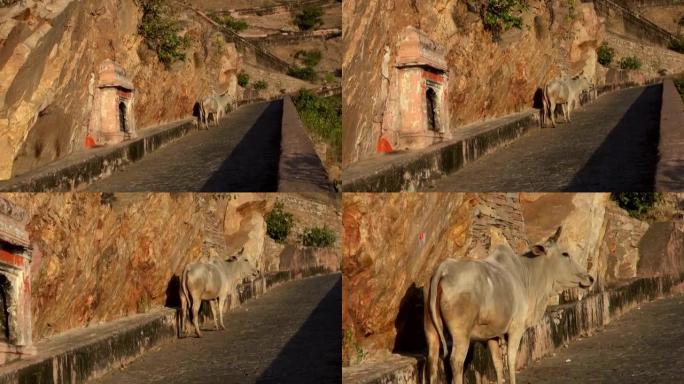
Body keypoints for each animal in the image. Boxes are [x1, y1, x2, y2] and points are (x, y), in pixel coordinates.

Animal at [428, 228, 592, 384]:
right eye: (565, 254)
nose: (590, 278)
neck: (525, 275)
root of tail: (444, 269)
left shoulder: (492, 335)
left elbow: (498, 364)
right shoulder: (516, 328)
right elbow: (511, 360)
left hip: (432, 333)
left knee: (433, 364)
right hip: (461, 334)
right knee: (456, 362)